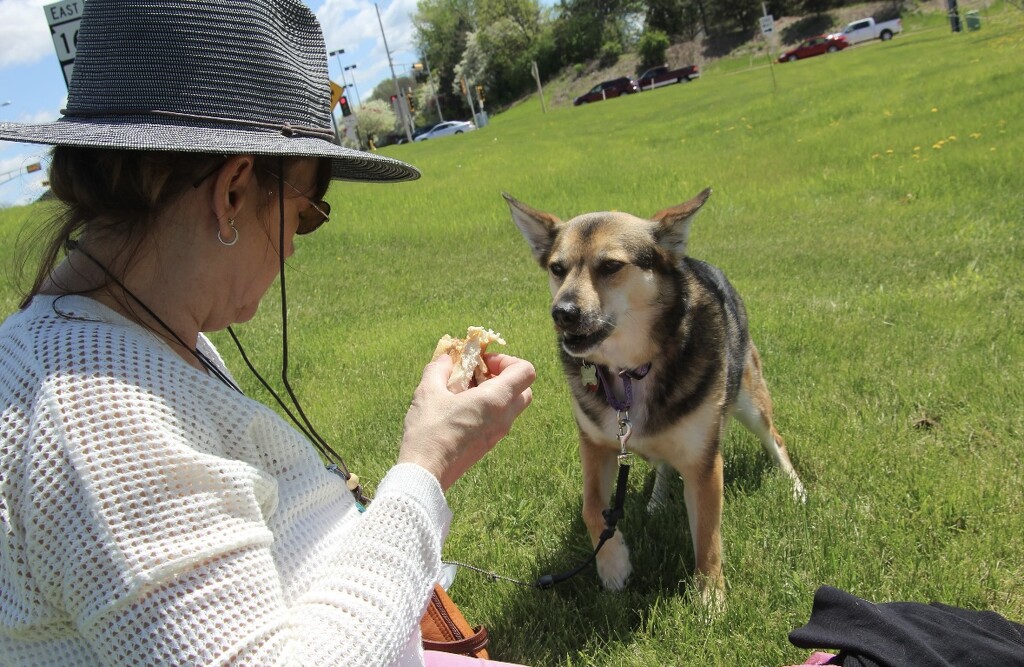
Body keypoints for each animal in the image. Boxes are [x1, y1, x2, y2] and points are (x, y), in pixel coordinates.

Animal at [503, 189, 806, 610]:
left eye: (611, 266)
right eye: (557, 268)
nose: (561, 313)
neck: (630, 370)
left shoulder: (704, 461)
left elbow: (708, 537)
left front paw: (711, 601)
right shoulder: (596, 445)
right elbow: (591, 507)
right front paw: (613, 567)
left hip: (749, 399)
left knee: (774, 439)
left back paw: (795, 488)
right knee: (663, 463)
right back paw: (657, 501)